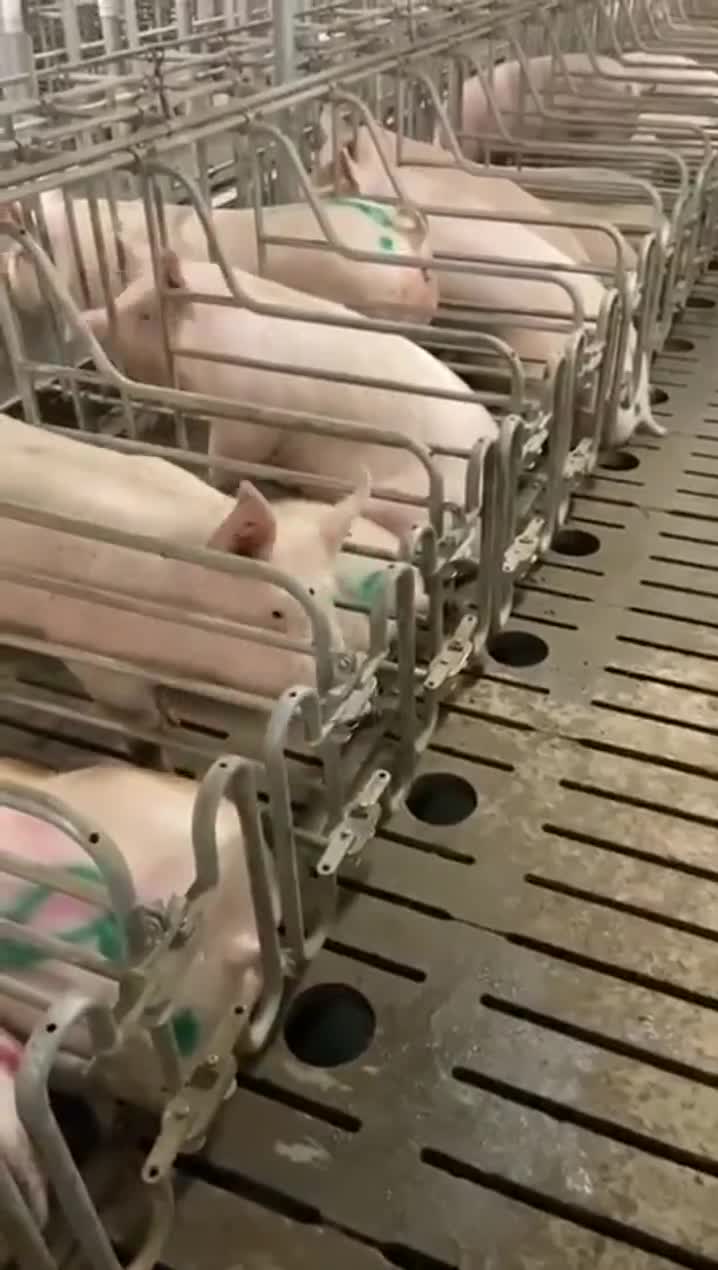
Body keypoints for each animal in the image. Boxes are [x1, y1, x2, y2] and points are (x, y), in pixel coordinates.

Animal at [81, 250, 498, 534]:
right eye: (125, 291)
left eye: (145, 314)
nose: (89, 319)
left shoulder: (248, 417)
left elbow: (225, 459)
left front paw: (211, 477)